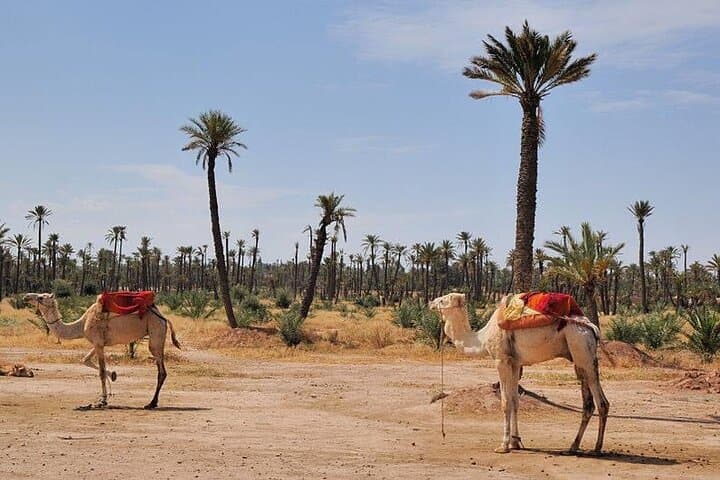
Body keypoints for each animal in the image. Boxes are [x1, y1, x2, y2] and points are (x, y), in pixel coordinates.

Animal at [24, 292, 181, 409]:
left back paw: (151, 403)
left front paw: (103, 400)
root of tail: (164, 317)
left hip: (155, 333)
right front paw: (113, 375)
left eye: (41, 297)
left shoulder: (98, 342)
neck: (81, 324)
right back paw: (153, 402)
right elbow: (85, 360)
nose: (26, 296)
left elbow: (100, 371)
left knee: (161, 371)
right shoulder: (98, 343)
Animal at [430, 292, 609, 454]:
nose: (430, 303)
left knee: (601, 402)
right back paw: (574, 446)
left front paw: (503, 445)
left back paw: (596, 448)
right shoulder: (515, 364)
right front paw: (515, 442)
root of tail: (592, 328)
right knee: (589, 403)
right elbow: (515, 401)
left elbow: (505, 402)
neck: (481, 338)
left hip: (581, 349)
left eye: (443, 300)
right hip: (580, 356)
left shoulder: (501, 361)